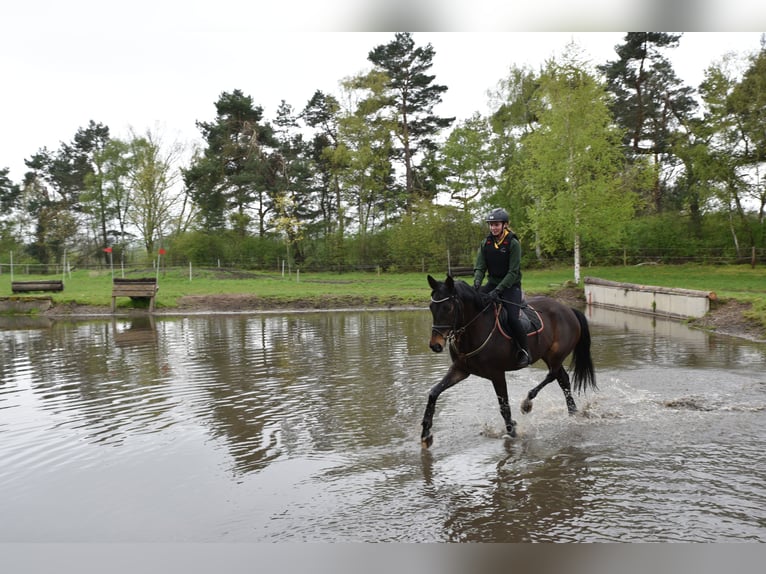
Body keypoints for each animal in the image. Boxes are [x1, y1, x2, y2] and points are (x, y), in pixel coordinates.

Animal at [424, 276, 596, 452]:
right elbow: (433, 393)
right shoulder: (460, 370)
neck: (474, 330)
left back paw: (527, 403)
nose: (435, 345)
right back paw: (573, 412)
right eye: (431, 307)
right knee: (563, 379)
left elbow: (504, 407)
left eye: (448, 308)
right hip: (548, 355)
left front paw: (512, 432)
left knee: (553, 374)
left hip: (556, 355)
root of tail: (568, 309)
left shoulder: (497, 374)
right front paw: (426, 434)